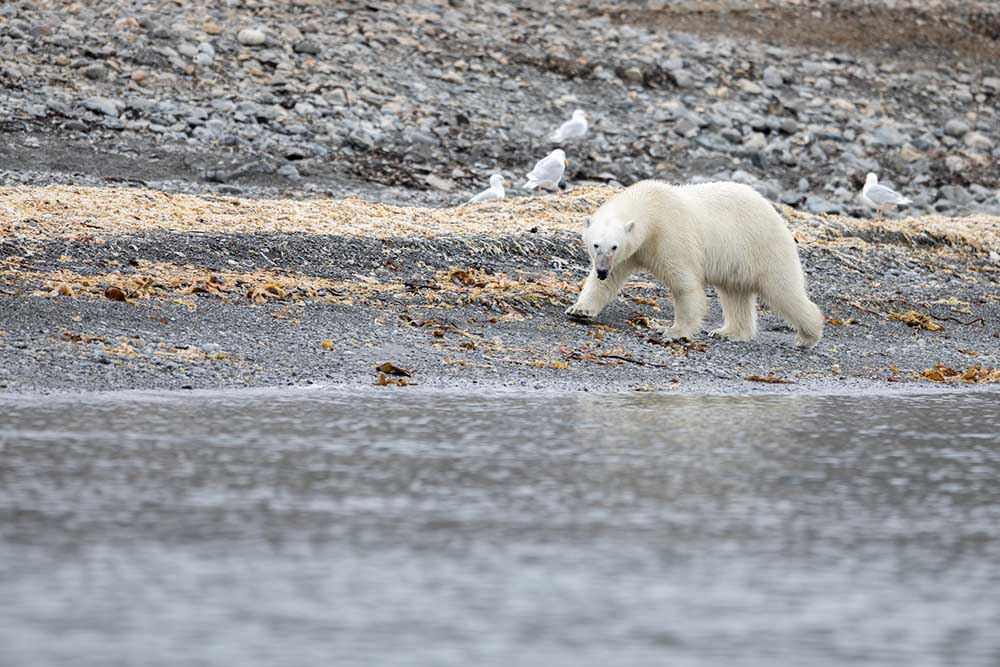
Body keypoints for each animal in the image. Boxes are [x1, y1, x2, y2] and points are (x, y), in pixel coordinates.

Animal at [568, 181, 824, 350]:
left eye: (614, 246)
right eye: (595, 245)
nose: (601, 270)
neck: (651, 206)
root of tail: (774, 212)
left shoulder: (670, 236)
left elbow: (684, 284)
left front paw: (674, 331)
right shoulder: (634, 250)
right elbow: (609, 281)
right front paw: (579, 310)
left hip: (764, 247)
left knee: (783, 290)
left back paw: (808, 335)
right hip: (738, 261)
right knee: (735, 294)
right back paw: (728, 332)